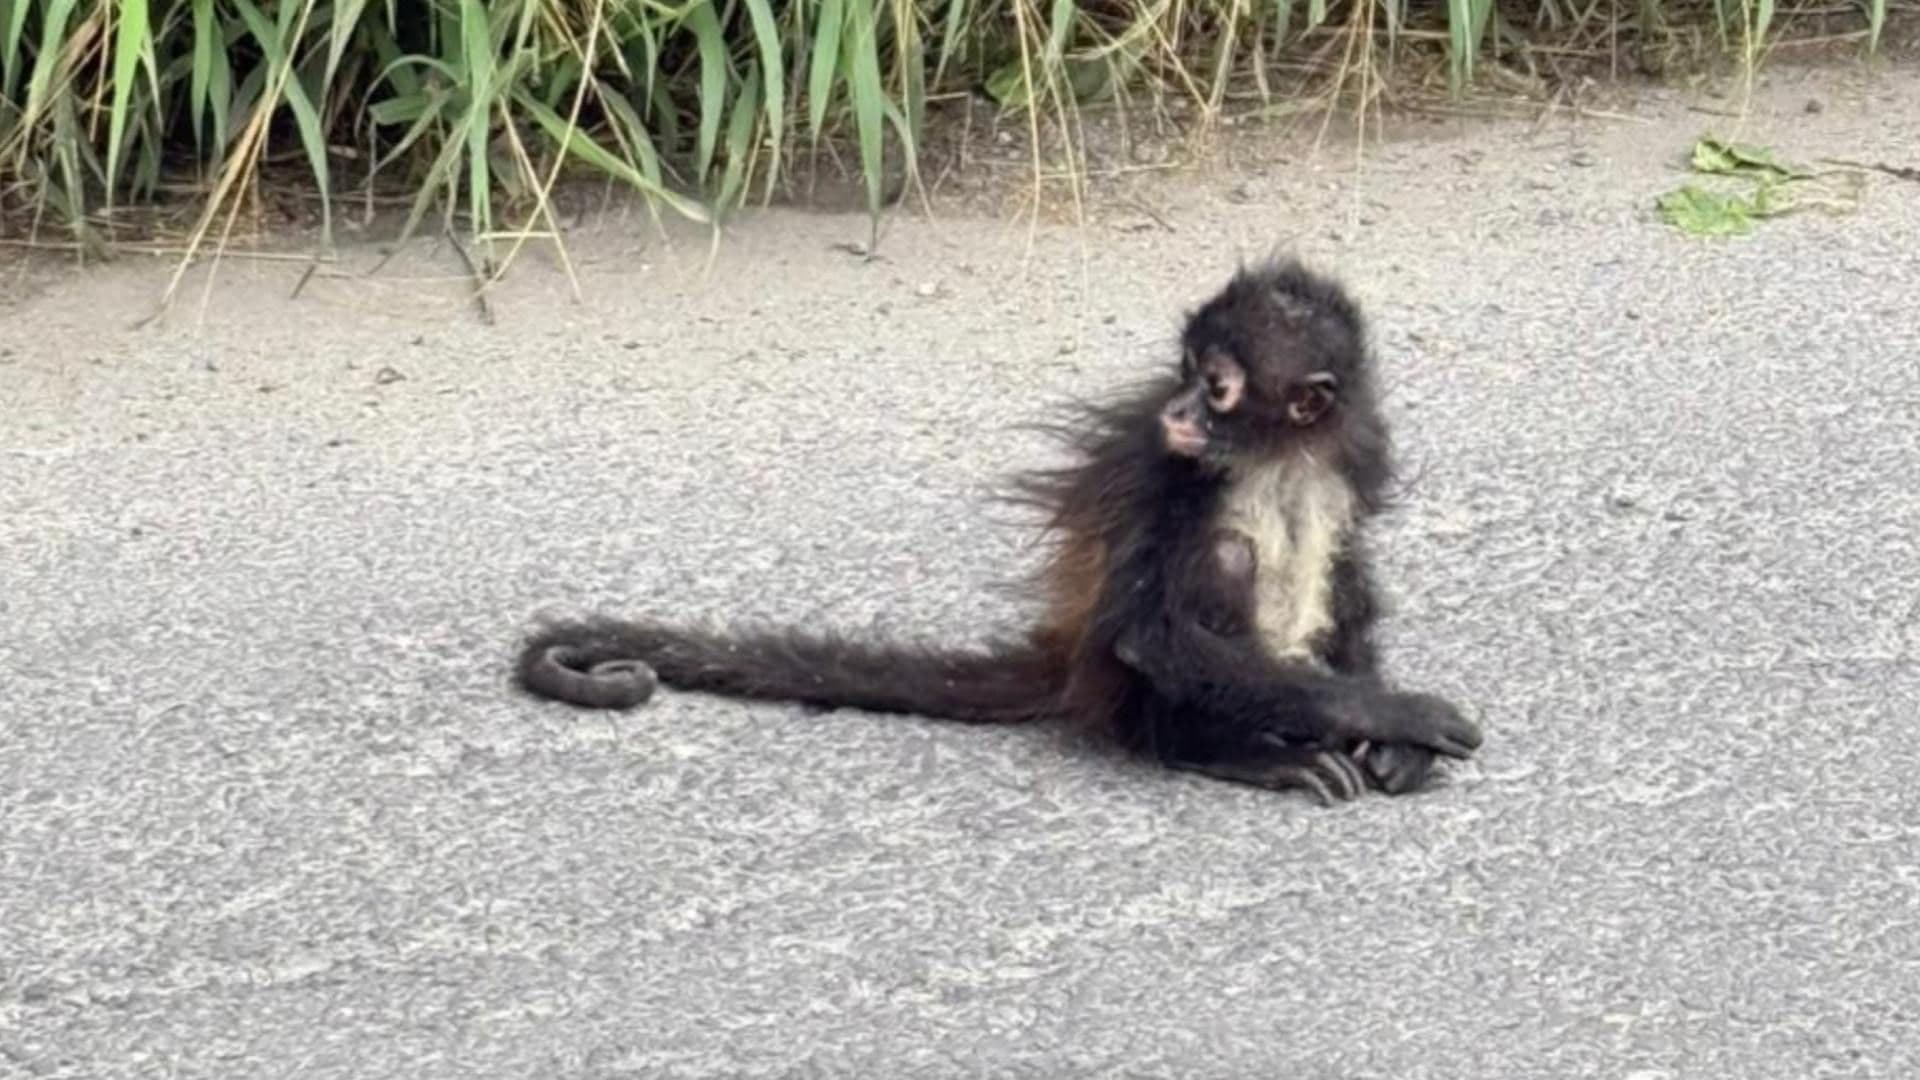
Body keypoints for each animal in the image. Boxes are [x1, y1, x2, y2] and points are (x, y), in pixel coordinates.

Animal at [515, 258, 1482, 803]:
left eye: (1217, 386)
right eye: (1183, 373)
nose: (1177, 408)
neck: (1276, 454)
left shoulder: (1353, 448)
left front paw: (1391, 741)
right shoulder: (1163, 462)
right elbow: (1154, 636)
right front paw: (1399, 715)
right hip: (1125, 689)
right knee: (1224, 564)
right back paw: (1221, 748)